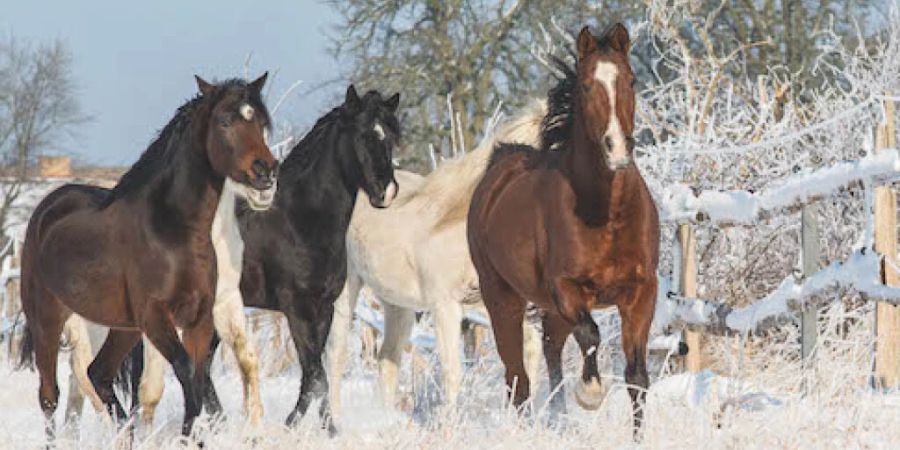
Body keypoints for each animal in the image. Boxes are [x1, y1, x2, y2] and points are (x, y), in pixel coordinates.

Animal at [60, 178, 260, 428]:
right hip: (91, 327)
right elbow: (152, 389)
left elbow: (245, 360)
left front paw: (251, 428)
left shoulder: (225, 302)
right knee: (84, 374)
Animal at [468, 25, 656, 432]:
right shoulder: (568, 288)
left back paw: (558, 416)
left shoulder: (641, 291)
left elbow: (637, 376)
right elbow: (591, 334)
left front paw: (638, 436)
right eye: (586, 86)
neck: (607, 214)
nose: (618, 149)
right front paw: (591, 393)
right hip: (502, 300)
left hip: (549, 310)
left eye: (631, 80)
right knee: (518, 378)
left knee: (550, 349)